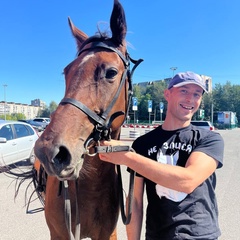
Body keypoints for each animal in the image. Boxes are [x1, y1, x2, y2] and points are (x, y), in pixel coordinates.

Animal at [34, 0, 142, 239]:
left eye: (111, 72)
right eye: (67, 71)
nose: (48, 151)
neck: (89, 186)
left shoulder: (108, 234)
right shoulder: (59, 234)